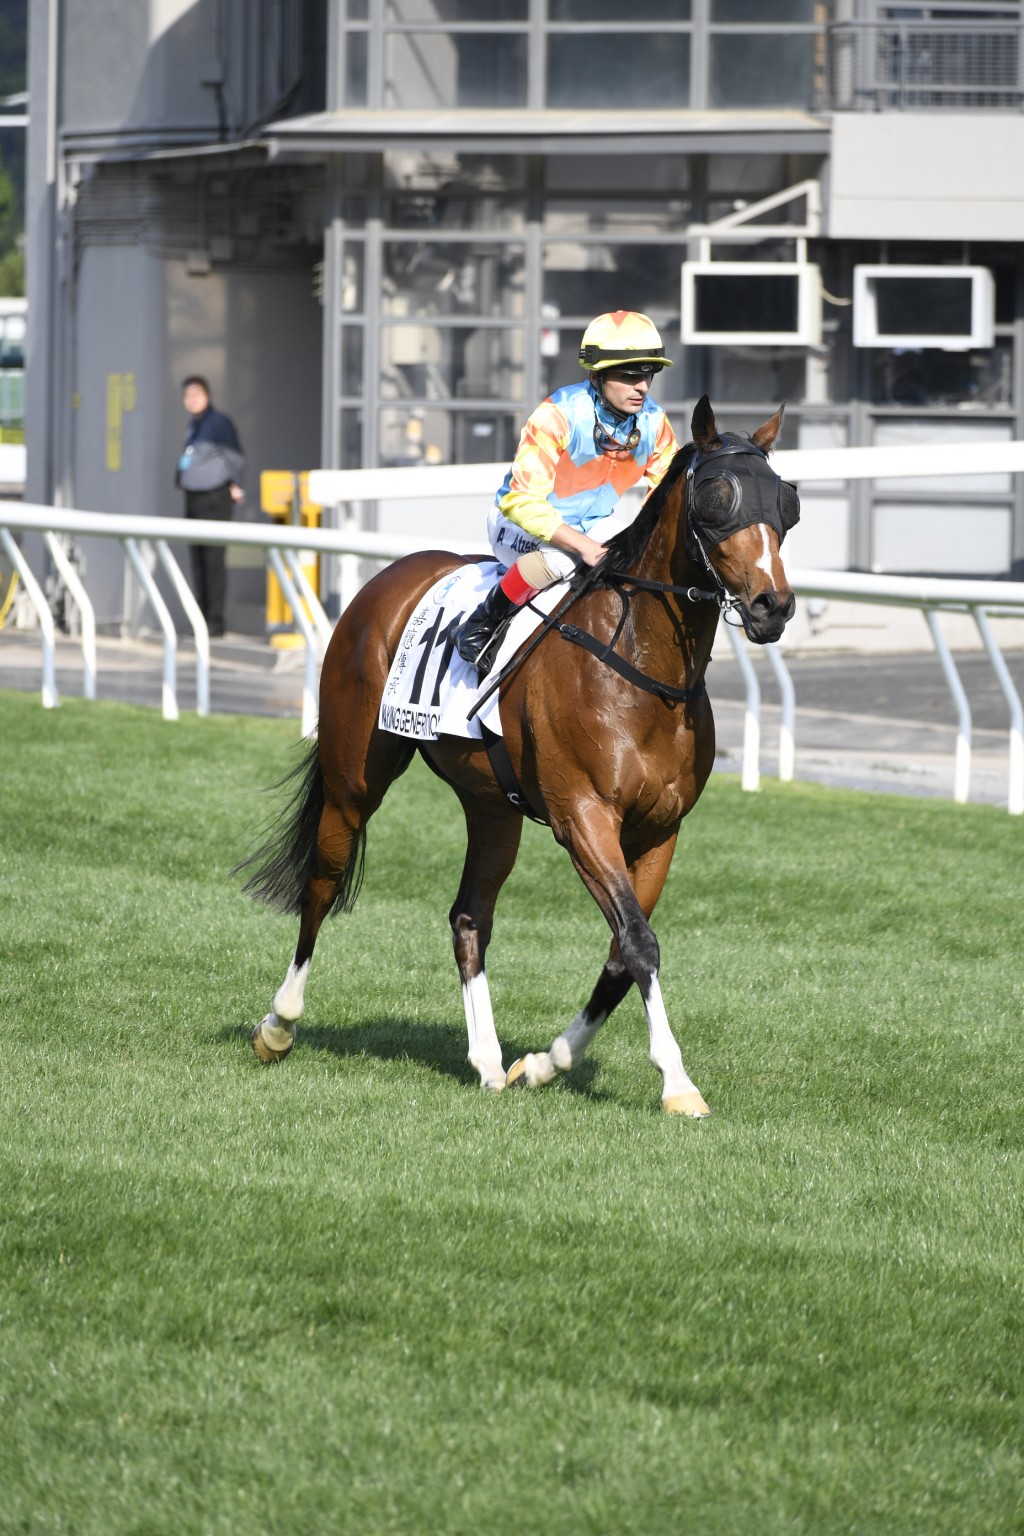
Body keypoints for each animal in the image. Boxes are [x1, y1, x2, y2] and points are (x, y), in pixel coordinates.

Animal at [237, 396, 798, 1118]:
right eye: (717, 496)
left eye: (785, 500)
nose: (771, 605)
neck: (641, 671)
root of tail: (386, 579)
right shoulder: (582, 817)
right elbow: (639, 941)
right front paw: (677, 1083)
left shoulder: (660, 830)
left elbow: (622, 951)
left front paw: (542, 1064)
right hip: (354, 776)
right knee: (322, 883)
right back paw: (278, 1025)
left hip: (491, 806)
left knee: (469, 915)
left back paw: (486, 1060)